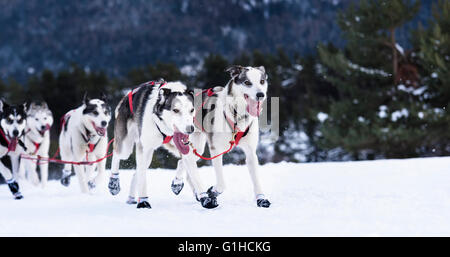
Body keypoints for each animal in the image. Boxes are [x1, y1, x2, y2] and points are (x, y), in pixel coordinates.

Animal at [107, 80, 218, 208]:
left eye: (191, 110)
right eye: (175, 110)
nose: (190, 129)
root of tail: (125, 96)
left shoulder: (185, 148)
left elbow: (195, 175)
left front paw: (205, 198)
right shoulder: (144, 148)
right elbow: (142, 178)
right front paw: (143, 201)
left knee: (138, 171)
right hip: (126, 147)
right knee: (118, 154)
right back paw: (114, 183)